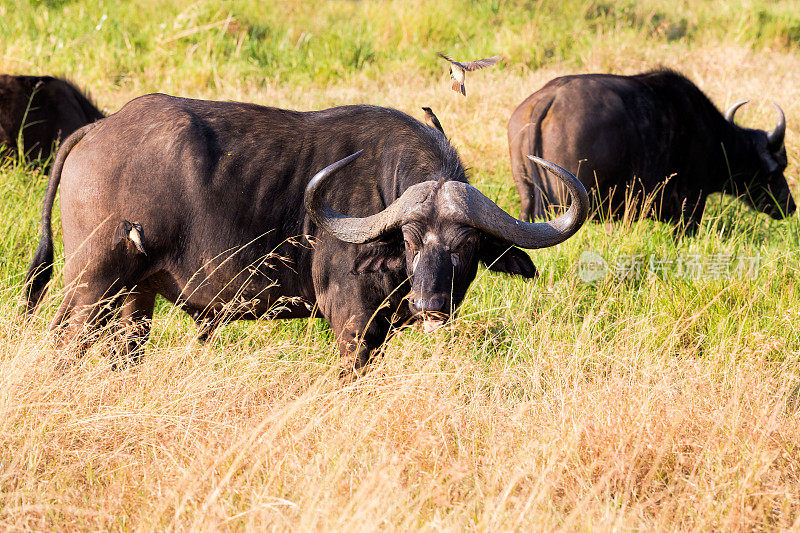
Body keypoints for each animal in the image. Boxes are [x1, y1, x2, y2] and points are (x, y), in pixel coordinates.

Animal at [25, 93, 588, 372]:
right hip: (90, 282)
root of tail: (97, 130)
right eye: (409, 239)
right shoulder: (351, 318)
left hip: (133, 294)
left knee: (123, 349)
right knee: (64, 340)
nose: (430, 304)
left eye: (466, 244)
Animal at [510, 68, 796, 231]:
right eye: (777, 169)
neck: (713, 137)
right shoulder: (691, 208)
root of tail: (548, 97)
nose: (789, 207)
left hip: (528, 197)